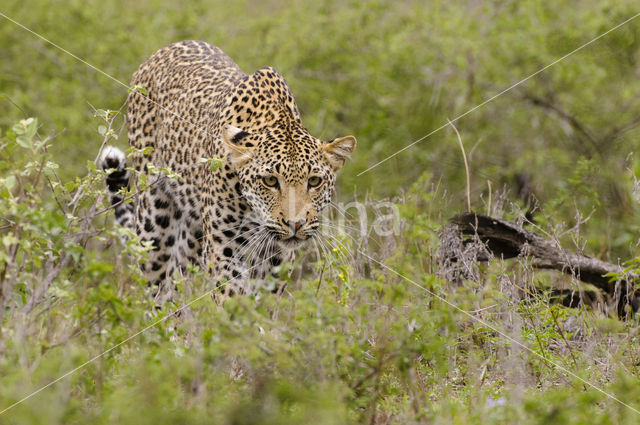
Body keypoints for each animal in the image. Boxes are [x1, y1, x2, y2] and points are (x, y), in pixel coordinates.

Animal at [102, 39, 358, 304]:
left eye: (315, 181)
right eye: (270, 181)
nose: (295, 224)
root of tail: (166, 49)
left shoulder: (277, 258)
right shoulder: (224, 248)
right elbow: (232, 299)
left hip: (192, 235)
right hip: (154, 223)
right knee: (158, 290)